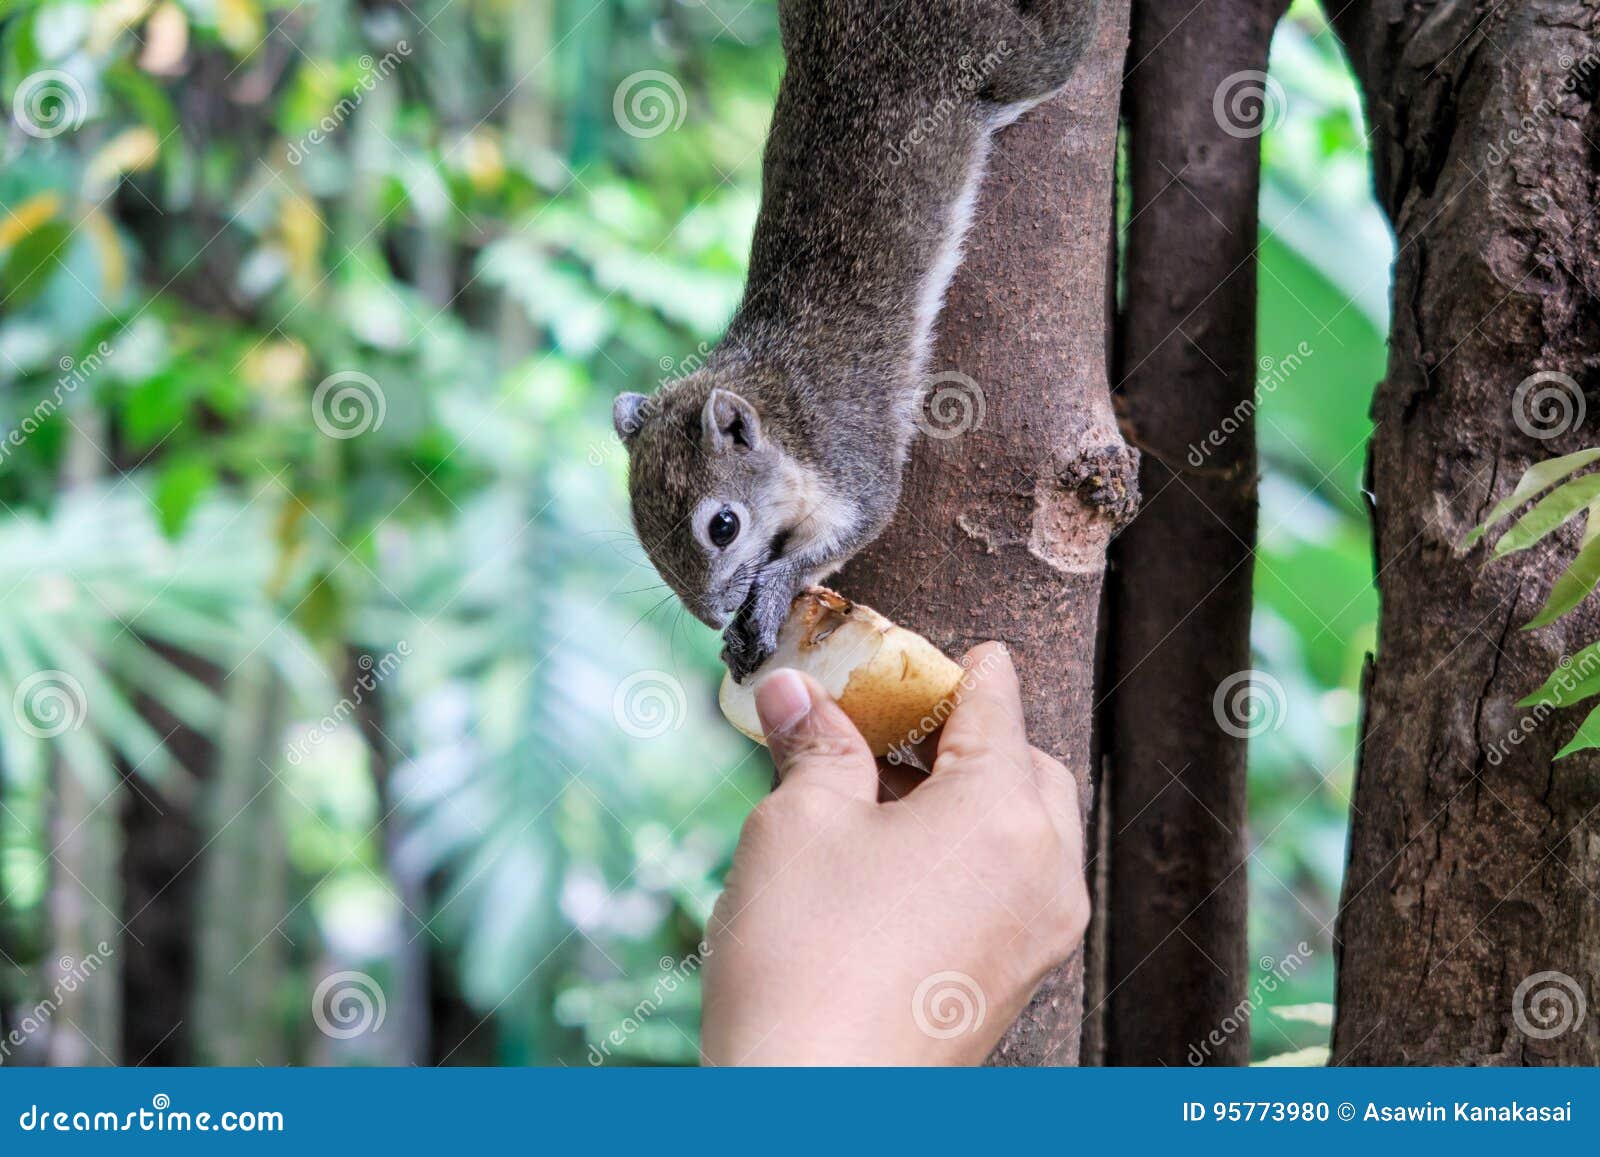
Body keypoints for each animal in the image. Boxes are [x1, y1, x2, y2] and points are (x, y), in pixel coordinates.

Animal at [614, 0, 1099, 681]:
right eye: (639, 524)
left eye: (723, 526)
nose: (711, 615)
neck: (780, 408)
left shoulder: (851, 456)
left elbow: (857, 526)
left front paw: (768, 598)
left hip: (1014, 58)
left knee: (1057, 47)